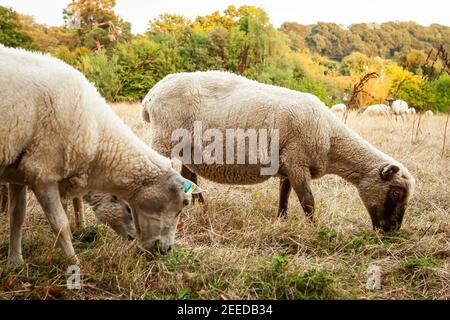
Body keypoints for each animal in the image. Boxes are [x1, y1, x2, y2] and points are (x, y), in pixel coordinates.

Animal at [0, 45, 202, 264]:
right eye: (183, 204)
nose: (165, 250)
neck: (98, 136)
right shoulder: (42, 172)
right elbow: (60, 224)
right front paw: (74, 263)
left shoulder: (20, 172)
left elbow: (17, 216)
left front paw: (15, 261)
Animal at [142, 72, 416, 232]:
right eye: (396, 192)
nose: (393, 230)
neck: (330, 138)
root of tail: (152, 93)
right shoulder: (297, 162)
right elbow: (308, 201)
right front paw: (314, 229)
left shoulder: (288, 165)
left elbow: (285, 195)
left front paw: (281, 220)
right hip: (163, 136)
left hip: (188, 147)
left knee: (189, 175)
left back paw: (199, 208)